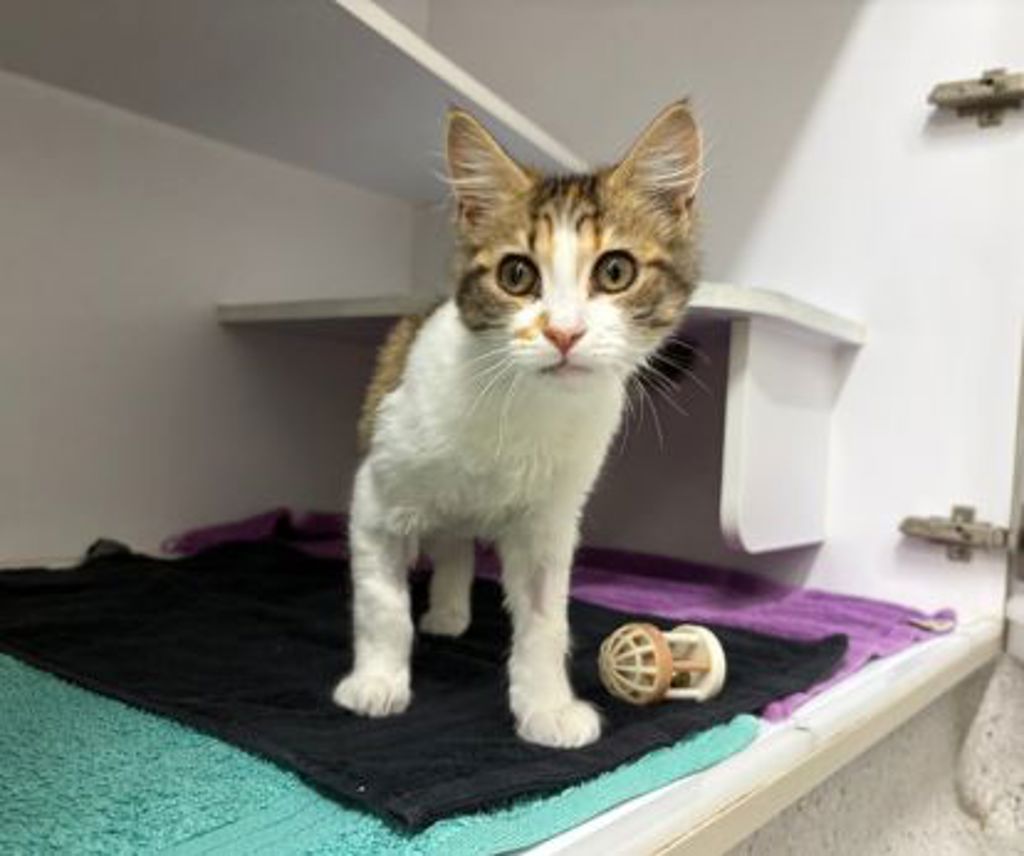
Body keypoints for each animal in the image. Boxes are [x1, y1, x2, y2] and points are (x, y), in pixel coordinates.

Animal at [333, 101, 702, 748]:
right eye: (516, 275)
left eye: (615, 271)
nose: (563, 332)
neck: (526, 407)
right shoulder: (376, 494)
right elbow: (381, 603)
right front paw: (377, 681)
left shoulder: (549, 522)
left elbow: (544, 619)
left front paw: (546, 706)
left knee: (455, 544)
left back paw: (450, 610)